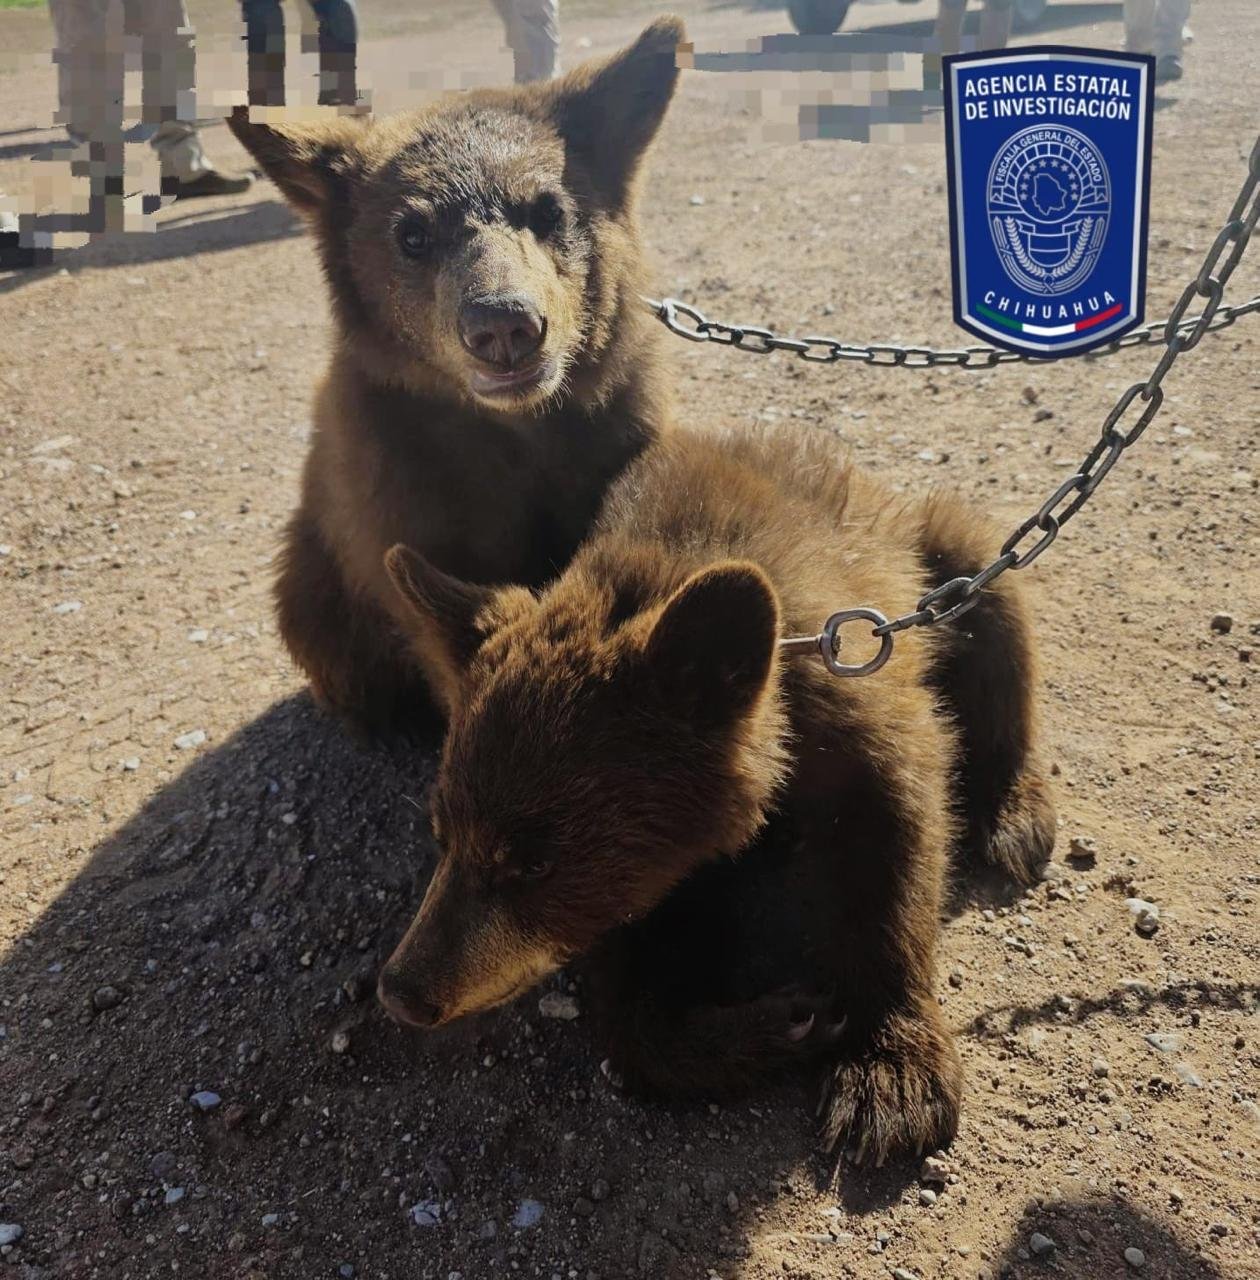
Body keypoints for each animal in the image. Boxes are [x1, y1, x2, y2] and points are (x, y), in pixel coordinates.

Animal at [226, 18, 685, 734]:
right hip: (310, 584)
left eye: (550, 212)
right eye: (412, 235)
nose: (505, 327)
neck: (519, 434)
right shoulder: (405, 519)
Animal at [373, 422, 1057, 1163]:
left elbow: (896, 839)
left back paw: (1017, 816)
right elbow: (635, 990)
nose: (403, 990)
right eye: (442, 831)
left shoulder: (858, 705)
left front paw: (891, 1079)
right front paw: (783, 1021)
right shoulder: (666, 868)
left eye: (533, 861)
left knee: (993, 600)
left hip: (938, 567)